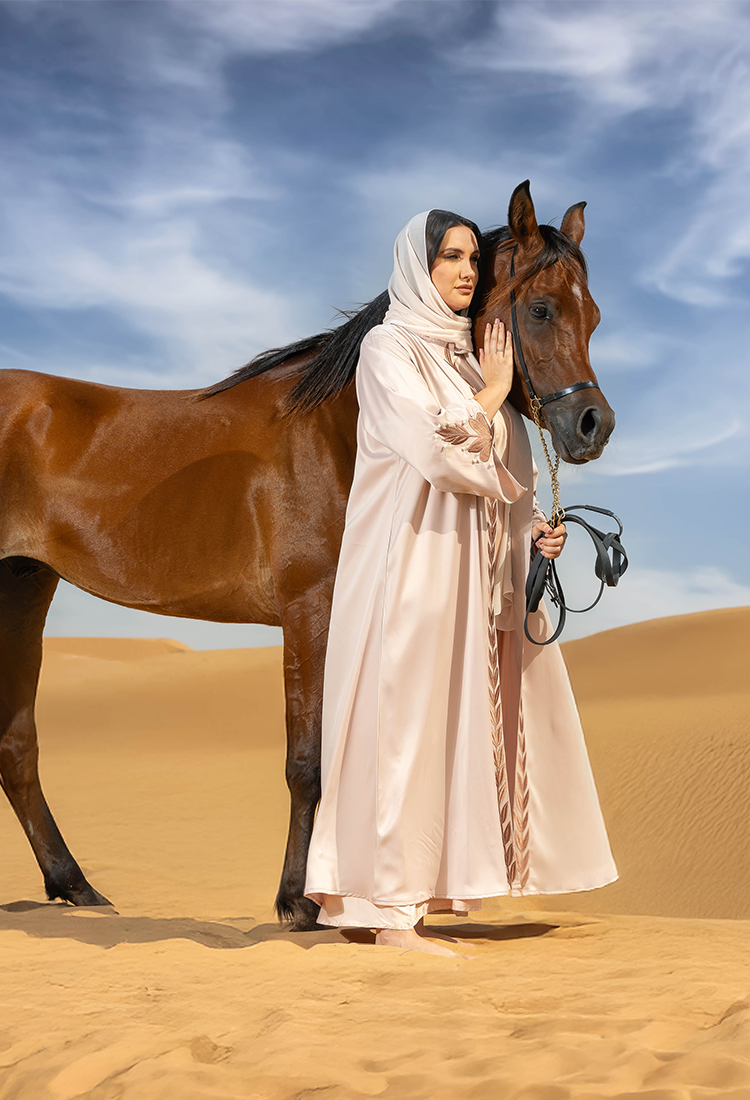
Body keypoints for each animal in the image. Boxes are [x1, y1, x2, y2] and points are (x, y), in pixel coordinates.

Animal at [0, 181, 613, 930]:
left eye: (594, 316)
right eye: (541, 308)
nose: (594, 426)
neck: (343, 427)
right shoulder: (310, 610)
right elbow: (308, 761)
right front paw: (299, 903)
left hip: (24, 584)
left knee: (16, 745)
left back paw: (77, 888)